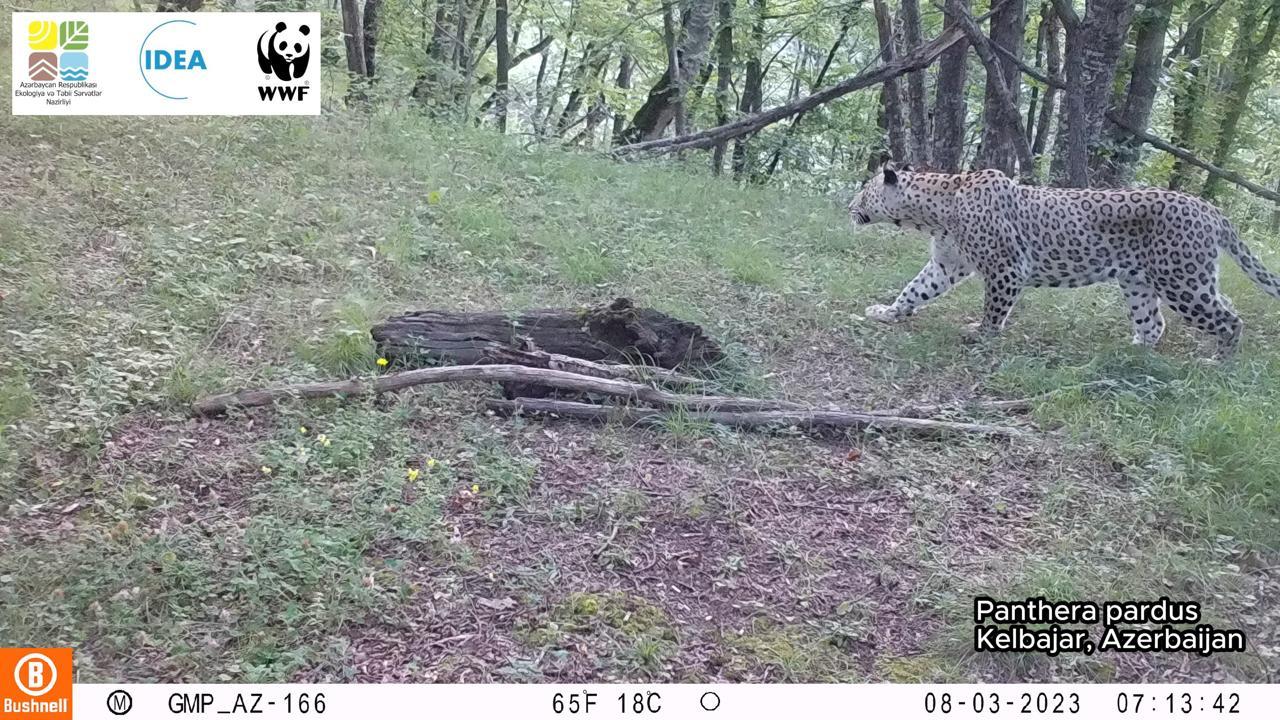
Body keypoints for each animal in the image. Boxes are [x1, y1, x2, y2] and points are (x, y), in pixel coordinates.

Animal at [839, 160, 1280, 356]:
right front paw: (887, 313)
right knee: (1154, 324)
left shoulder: (1006, 268)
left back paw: (1218, 362)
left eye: (864, 190)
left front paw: (982, 335)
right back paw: (1131, 352)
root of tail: (1211, 209)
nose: (849, 205)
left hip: (1183, 280)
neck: (934, 211)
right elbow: (914, 290)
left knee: (1230, 318)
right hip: (1139, 282)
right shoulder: (946, 264)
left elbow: (994, 308)